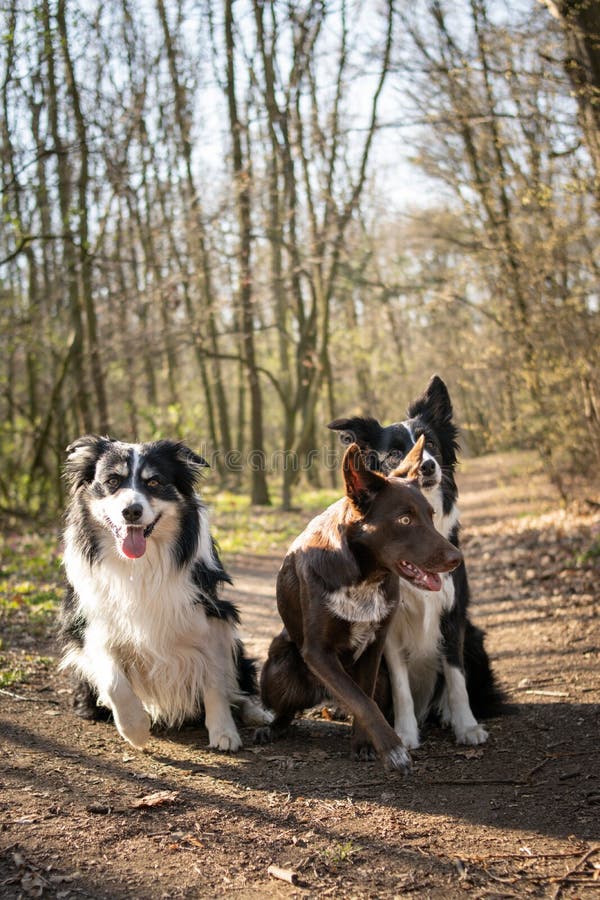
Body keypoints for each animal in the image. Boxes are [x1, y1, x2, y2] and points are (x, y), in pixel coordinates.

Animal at [58, 436, 270, 752]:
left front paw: (223, 732)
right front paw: (135, 729)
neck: (139, 565)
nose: (131, 511)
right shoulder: (89, 623)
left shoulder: (212, 616)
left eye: (154, 482)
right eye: (112, 481)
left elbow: (215, 680)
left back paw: (258, 713)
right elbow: (113, 681)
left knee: (238, 686)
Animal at [256, 434, 460, 768]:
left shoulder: (375, 646)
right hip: (278, 665)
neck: (363, 574)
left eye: (431, 517)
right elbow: (360, 700)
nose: (457, 558)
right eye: (405, 519)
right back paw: (272, 728)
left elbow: (363, 695)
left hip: (384, 679)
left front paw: (364, 744)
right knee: (287, 710)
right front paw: (392, 749)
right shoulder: (318, 652)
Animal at [328, 376, 502, 748]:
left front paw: (466, 725)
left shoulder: (453, 615)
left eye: (432, 443)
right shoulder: (389, 627)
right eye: (394, 453)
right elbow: (401, 686)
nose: (427, 466)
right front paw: (405, 733)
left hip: (475, 636)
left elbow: (455, 677)